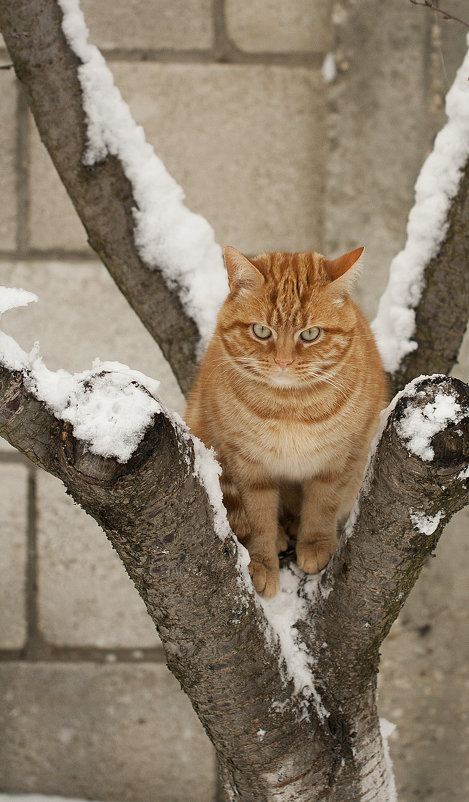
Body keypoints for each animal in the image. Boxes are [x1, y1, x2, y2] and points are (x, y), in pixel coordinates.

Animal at [185, 247, 386, 596]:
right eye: (262, 331)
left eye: (310, 334)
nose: (283, 361)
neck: (290, 406)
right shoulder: (247, 467)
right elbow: (258, 519)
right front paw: (261, 563)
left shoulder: (340, 460)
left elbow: (322, 505)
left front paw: (315, 543)